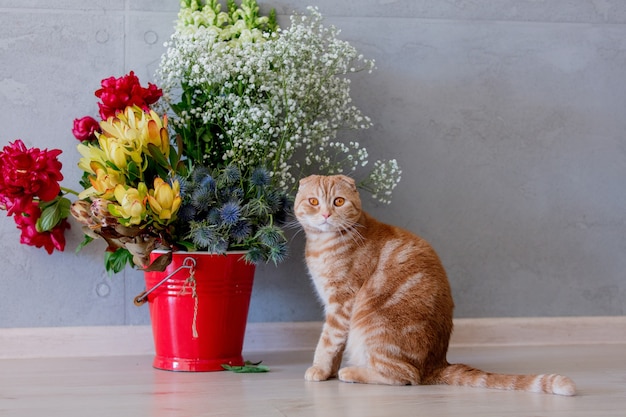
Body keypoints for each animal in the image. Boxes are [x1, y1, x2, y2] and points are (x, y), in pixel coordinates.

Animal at [294, 174, 576, 394]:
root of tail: (436, 364)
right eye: (313, 201)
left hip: (373, 325)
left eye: (338, 201)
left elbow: (328, 341)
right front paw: (328, 371)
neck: (322, 245)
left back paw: (353, 372)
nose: (326, 214)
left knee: (405, 376)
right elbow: (336, 344)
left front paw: (319, 369)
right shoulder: (332, 304)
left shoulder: (342, 302)